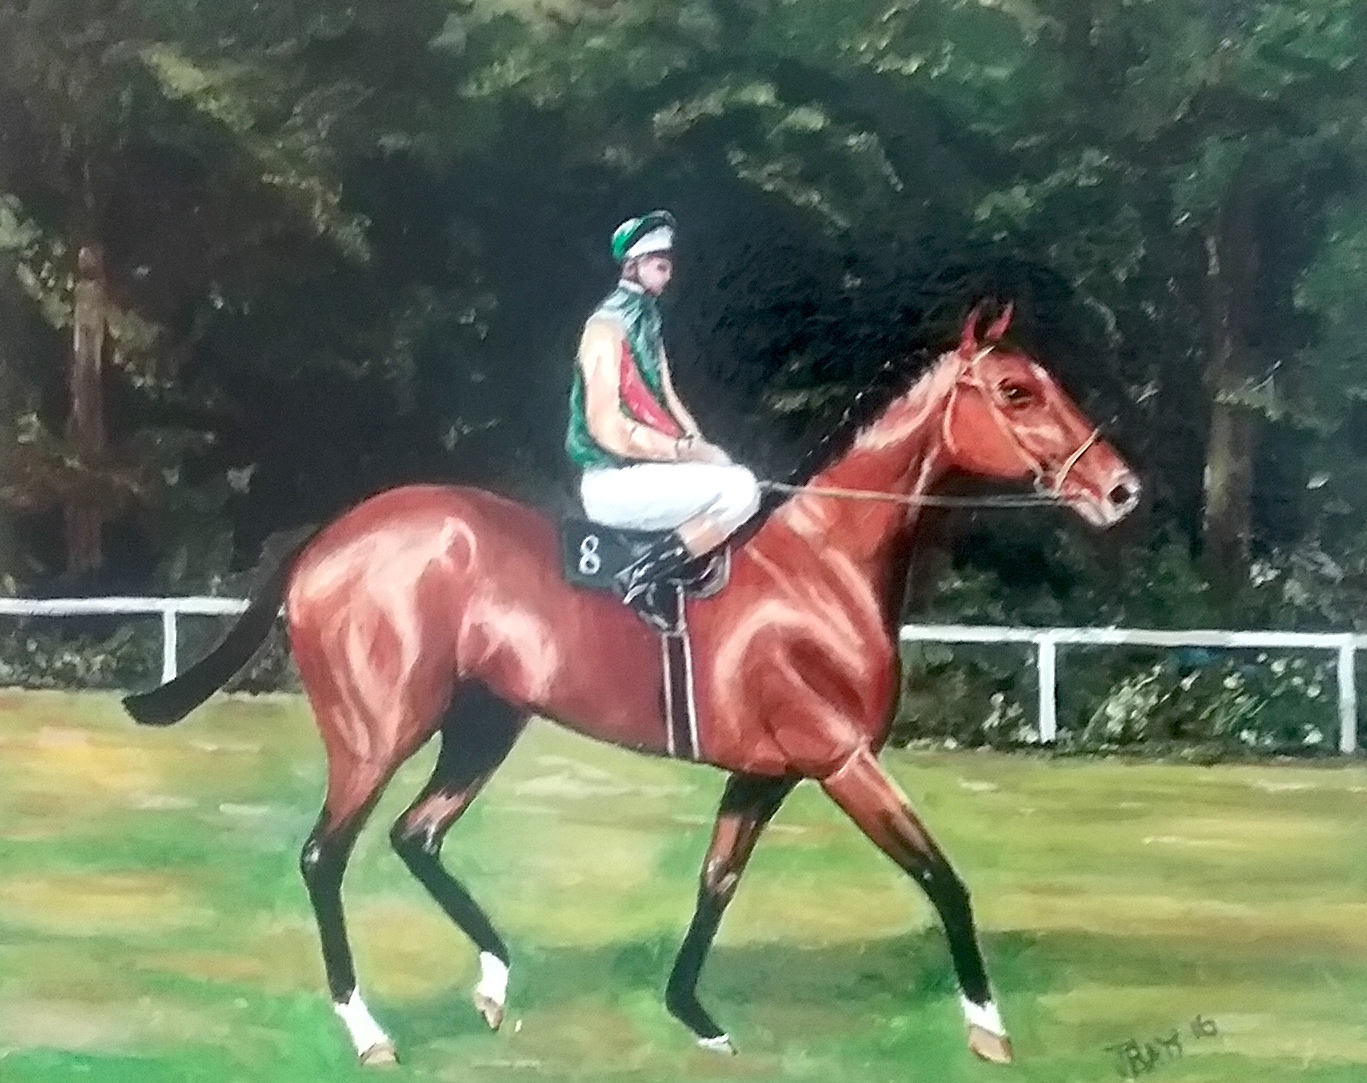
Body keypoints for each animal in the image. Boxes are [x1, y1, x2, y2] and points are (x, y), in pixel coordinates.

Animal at [121, 301, 1139, 1067]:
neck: (817, 567)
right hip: (378, 731)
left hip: (485, 723)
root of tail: (333, 536)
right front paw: (989, 1025)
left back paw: (495, 977)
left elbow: (715, 880)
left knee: (419, 835)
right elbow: (942, 877)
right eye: (1015, 388)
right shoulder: (839, 759)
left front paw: (693, 1012)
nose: (1121, 489)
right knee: (323, 856)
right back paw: (369, 1029)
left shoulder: (765, 771)